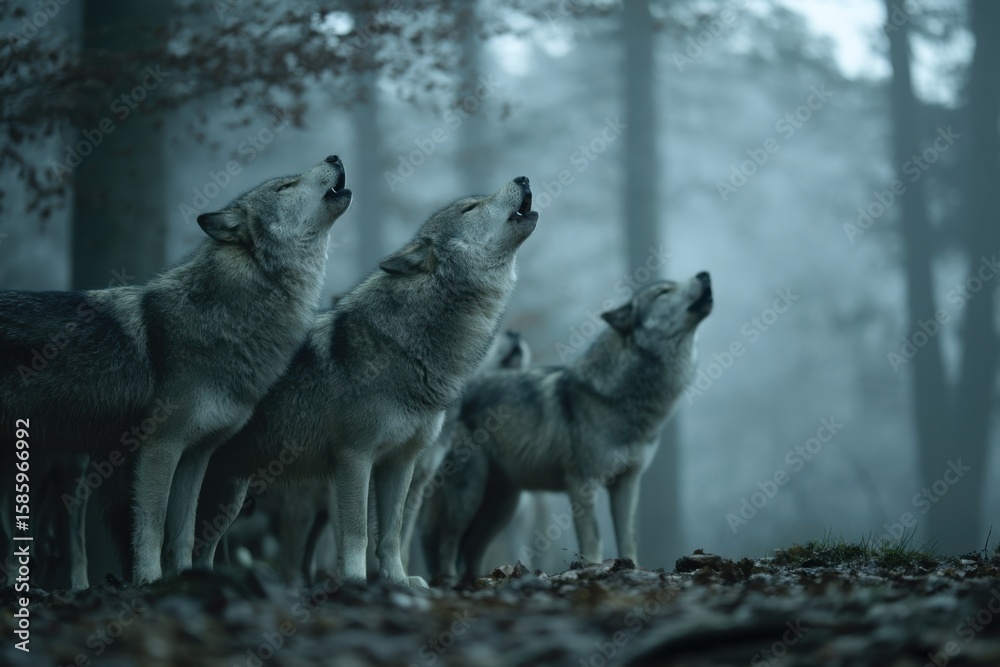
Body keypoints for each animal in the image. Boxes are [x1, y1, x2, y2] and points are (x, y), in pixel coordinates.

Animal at [0, 156, 351, 584]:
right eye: (285, 187)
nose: (334, 157)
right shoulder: (160, 447)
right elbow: (152, 525)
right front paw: (149, 581)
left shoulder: (196, 455)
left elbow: (183, 533)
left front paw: (185, 579)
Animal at [191, 177, 538, 589]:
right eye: (470, 209)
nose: (522, 179)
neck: (406, 346)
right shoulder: (353, 459)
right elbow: (357, 531)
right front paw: (355, 581)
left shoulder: (401, 464)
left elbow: (392, 534)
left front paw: (398, 581)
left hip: (229, 494)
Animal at [421, 273, 713, 580]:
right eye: (663, 293)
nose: (705, 274)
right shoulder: (581, 482)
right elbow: (593, 537)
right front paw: (594, 569)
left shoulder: (627, 481)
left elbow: (628, 537)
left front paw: (633, 569)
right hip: (469, 496)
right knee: (446, 543)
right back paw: (449, 582)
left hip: (502, 507)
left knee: (470, 549)